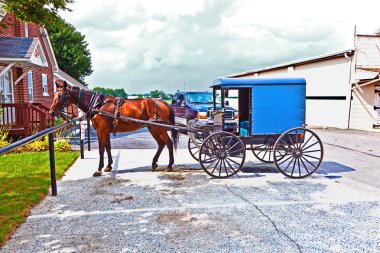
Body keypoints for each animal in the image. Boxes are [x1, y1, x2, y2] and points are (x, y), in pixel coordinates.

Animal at [49, 80, 180, 177]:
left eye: (61, 96)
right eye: (55, 95)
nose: (51, 112)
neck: (98, 104)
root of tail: (163, 102)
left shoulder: (101, 130)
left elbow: (101, 149)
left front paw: (99, 169)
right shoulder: (105, 131)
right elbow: (108, 147)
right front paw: (108, 166)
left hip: (160, 128)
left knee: (168, 143)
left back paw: (169, 166)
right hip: (152, 128)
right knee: (161, 144)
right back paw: (154, 163)